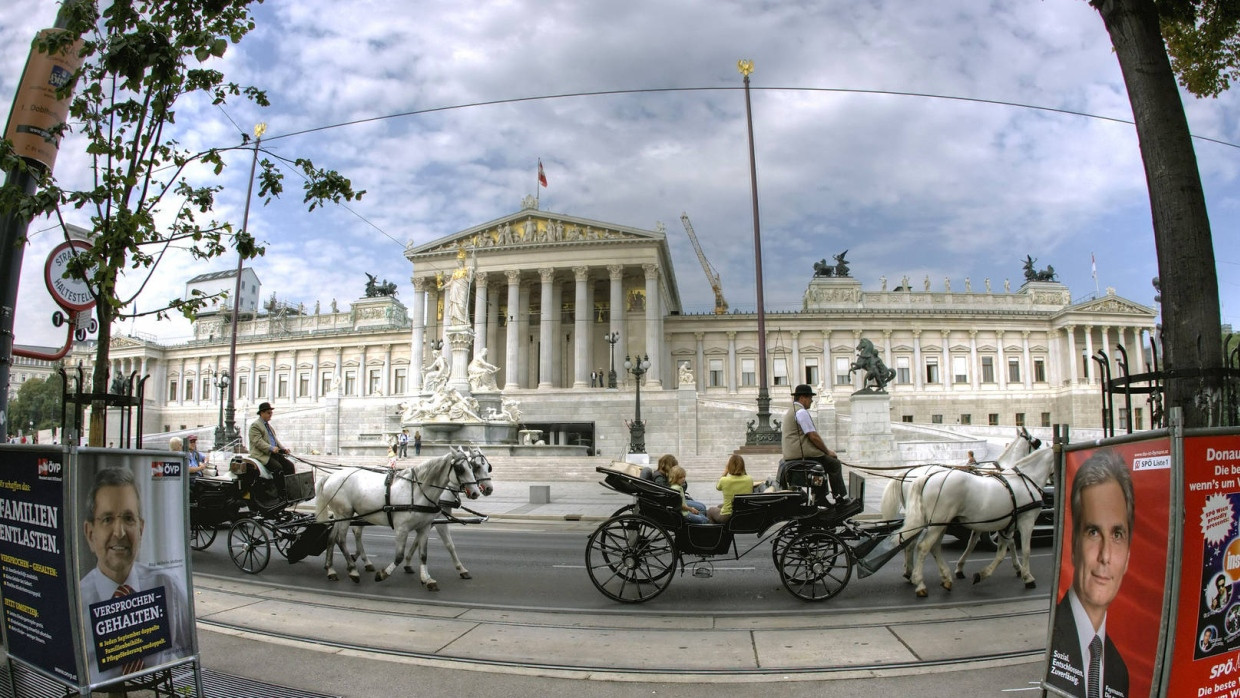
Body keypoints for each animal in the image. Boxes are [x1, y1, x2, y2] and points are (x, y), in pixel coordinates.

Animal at [314, 448, 478, 590]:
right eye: (460, 469)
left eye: (472, 467)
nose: (476, 492)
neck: (418, 491)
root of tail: (330, 476)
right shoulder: (401, 529)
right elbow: (399, 556)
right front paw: (382, 574)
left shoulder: (424, 527)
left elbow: (423, 555)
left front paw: (427, 579)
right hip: (345, 514)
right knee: (341, 540)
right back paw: (353, 571)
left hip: (339, 515)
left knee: (332, 538)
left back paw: (331, 569)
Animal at [897, 446, 1051, 597]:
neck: (1023, 481)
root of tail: (927, 478)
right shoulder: (1026, 522)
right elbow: (1025, 550)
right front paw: (1028, 577)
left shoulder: (1007, 525)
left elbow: (1002, 550)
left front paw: (982, 574)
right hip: (937, 523)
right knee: (923, 546)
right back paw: (919, 583)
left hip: (940, 524)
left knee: (931, 546)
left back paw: (943, 578)